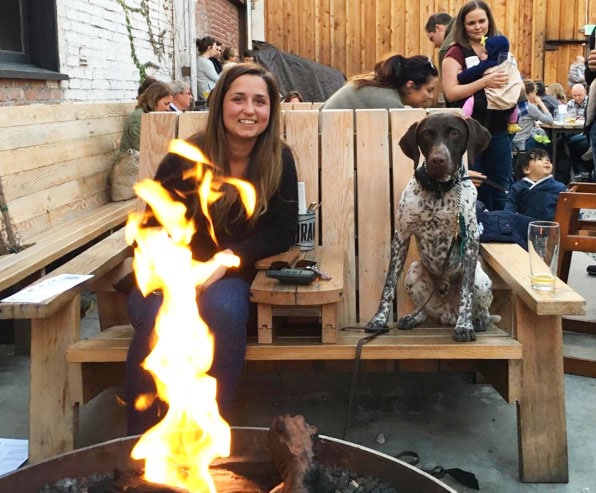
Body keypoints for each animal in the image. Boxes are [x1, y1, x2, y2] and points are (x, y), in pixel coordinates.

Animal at [368, 113, 498, 340]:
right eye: (427, 134)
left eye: (454, 133)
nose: (438, 160)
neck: (438, 190)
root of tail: (447, 313)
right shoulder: (401, 236)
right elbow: (388, 284)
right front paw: (379, 319)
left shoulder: (471, 240)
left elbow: (466, 291)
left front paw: (464, 327)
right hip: (414, 270)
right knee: (423, 311)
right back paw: (412, 317)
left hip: (481, 279)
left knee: (483, 309)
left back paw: (477, 320)